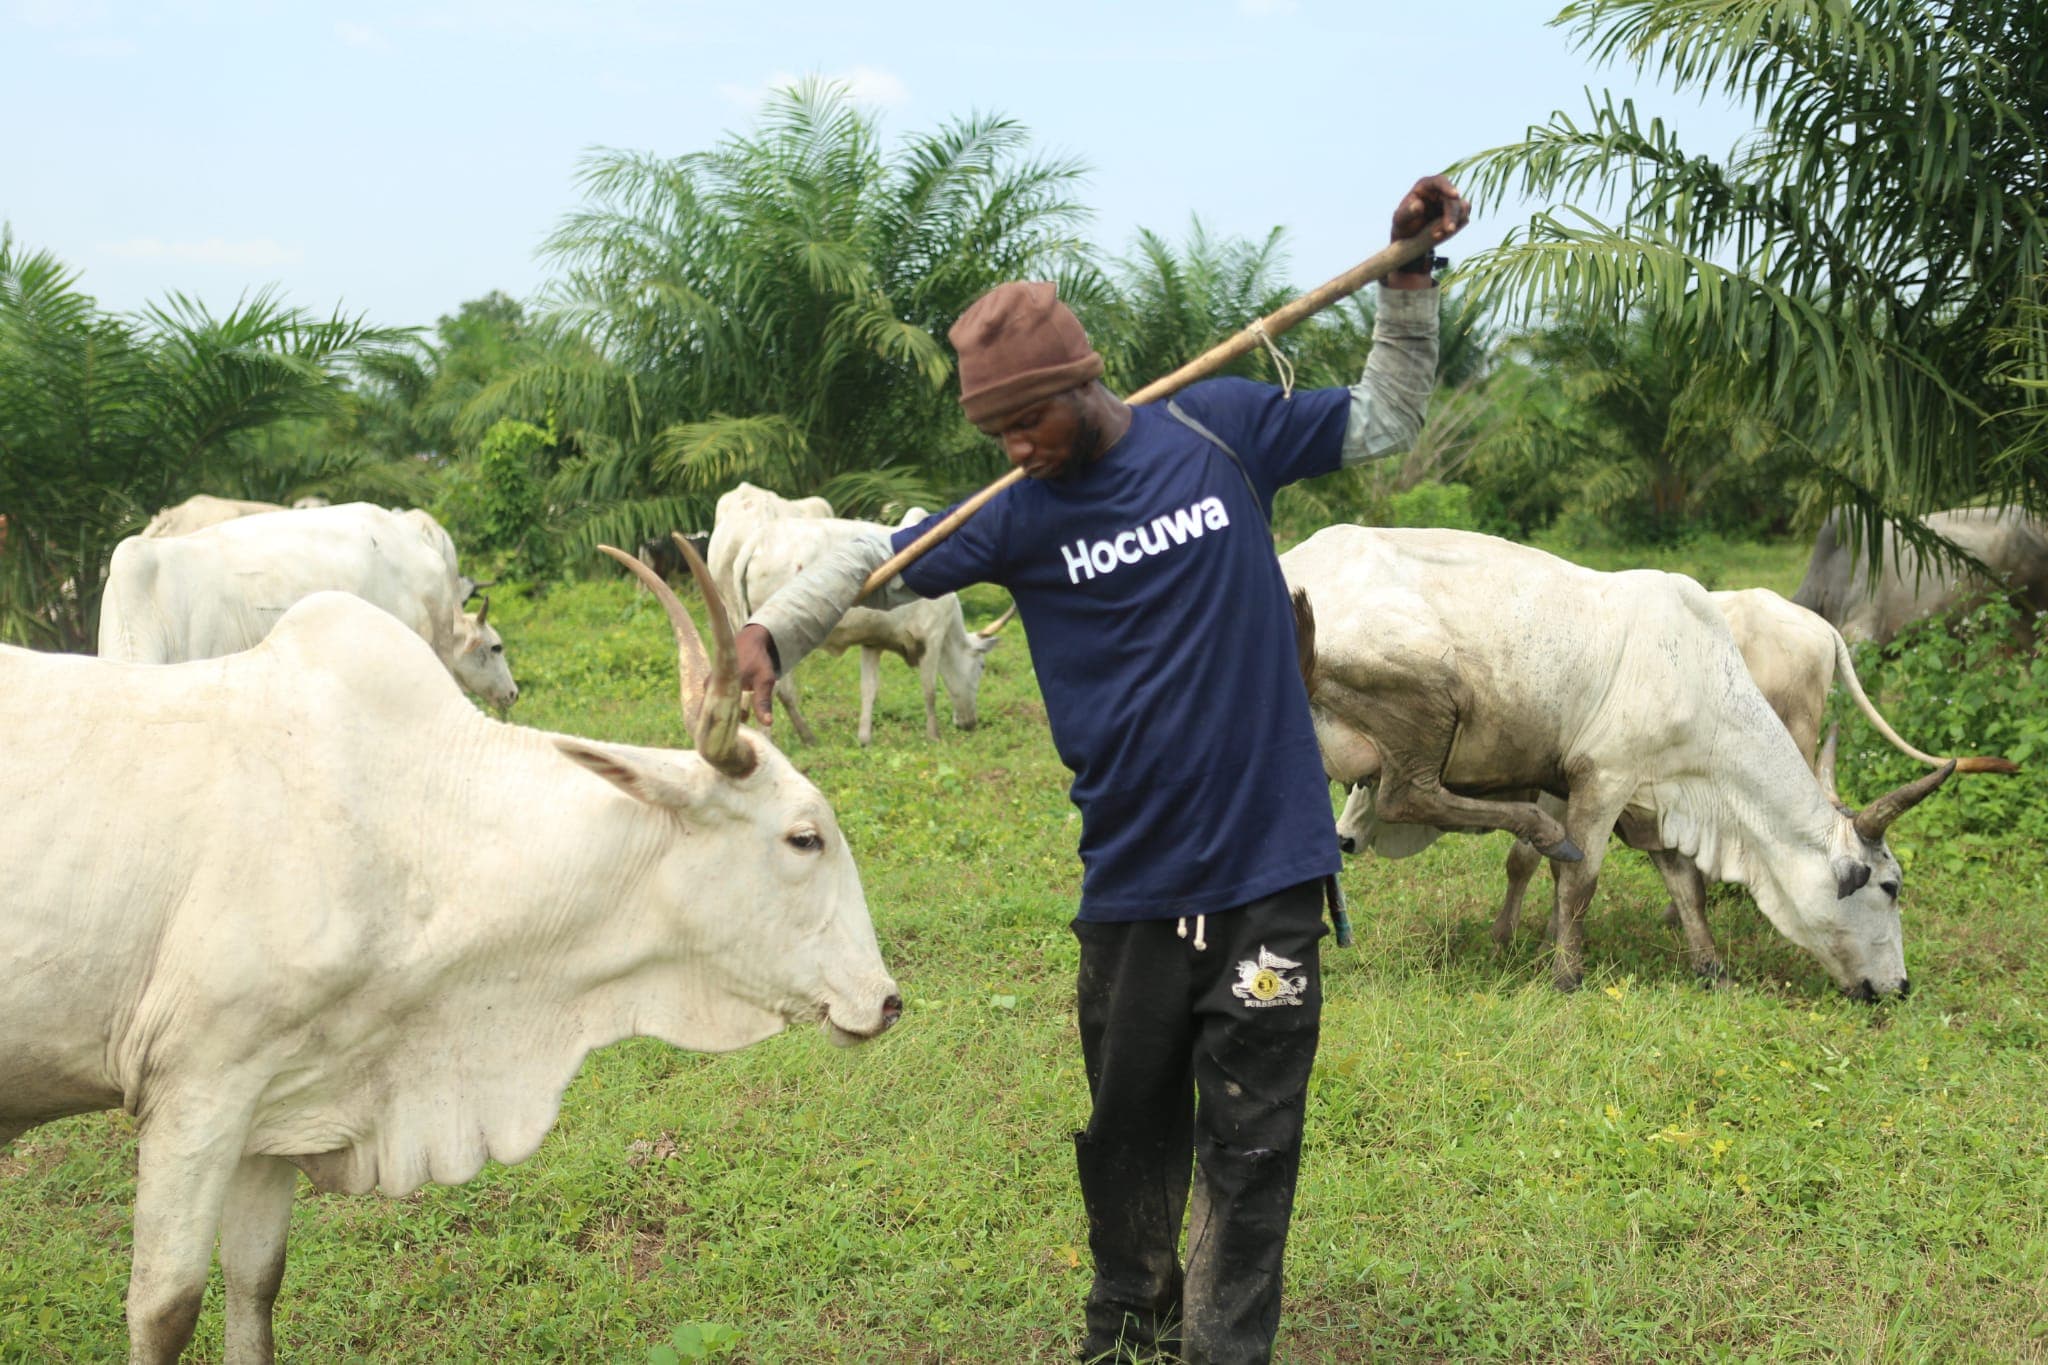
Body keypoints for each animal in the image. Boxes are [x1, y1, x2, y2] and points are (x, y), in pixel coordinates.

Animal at [0, 543, 901, 1363]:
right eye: (805, 837)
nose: (887, 999)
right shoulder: (195, 1087)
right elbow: (164, 1307)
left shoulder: (273, 1104)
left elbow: (255, 1283)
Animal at [728, 516, 1016, 746]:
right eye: (981, 666)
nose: (969, 723)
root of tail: (759, 539)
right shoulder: (932, 638)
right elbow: (929, 690)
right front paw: (934, 736)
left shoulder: (872, 643)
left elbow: (869, 690)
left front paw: (865, 738)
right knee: (773, 689)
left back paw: (806, 737)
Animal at [1282, 526, 1962, 997]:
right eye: (1891, 887)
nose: (1901, 988)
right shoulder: (1602, 779)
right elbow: (1578, 882)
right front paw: (1565, 974)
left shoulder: (1655, 800)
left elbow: (1688, 887)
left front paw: (1712, 969)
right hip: (1431, 694)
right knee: (1409, 794)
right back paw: (1541, 830)